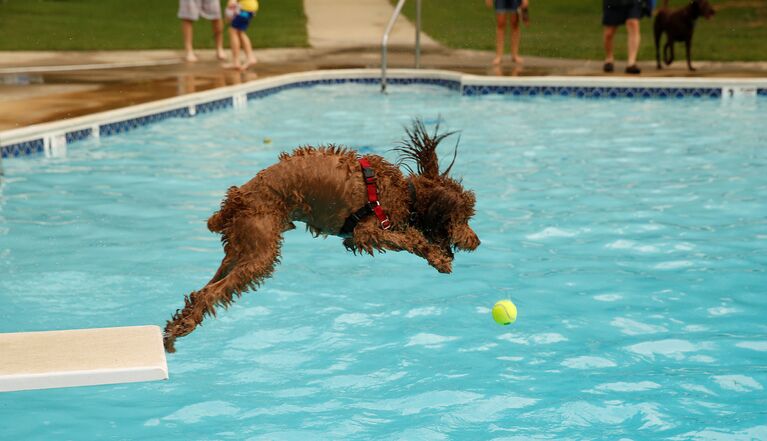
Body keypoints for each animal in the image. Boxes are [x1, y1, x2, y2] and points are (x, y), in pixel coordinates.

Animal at [164, 119, 480, 350]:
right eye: (464, 218)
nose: (476, 241)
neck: (406, 191)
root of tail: (235, 199)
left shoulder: (356, 239)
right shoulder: (368, 230)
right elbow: (410, 239)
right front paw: (437, 257)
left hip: (240, 248)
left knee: (203, 289)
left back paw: (175, 328)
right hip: (259, 252)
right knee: (211, 292)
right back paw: (181, 329)